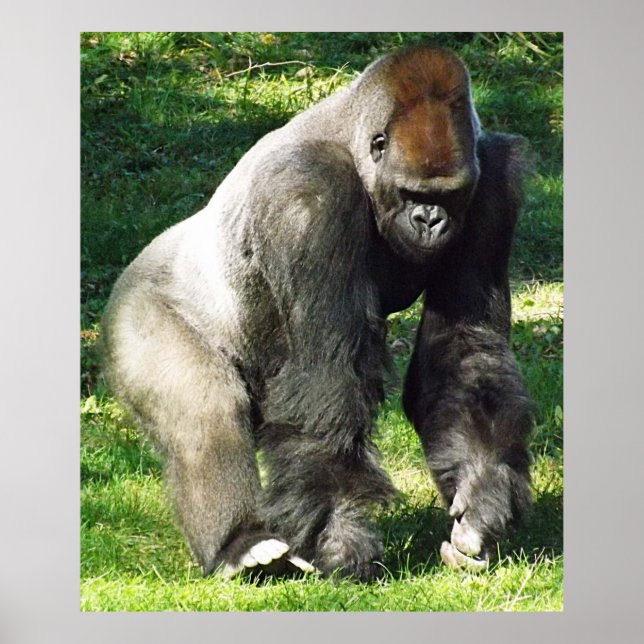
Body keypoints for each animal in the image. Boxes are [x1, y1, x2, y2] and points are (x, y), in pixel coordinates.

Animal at [100, 45, 532, 580]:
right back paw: (239, 543)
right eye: (413, 194)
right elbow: (325, 375)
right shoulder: (309, 195)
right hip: (136, 315)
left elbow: (463, 352)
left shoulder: (491, 184)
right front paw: (339, 535)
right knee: (202, 409)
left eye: (447, 196)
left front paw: (480, 496)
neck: (353, 138)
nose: (430, 221)